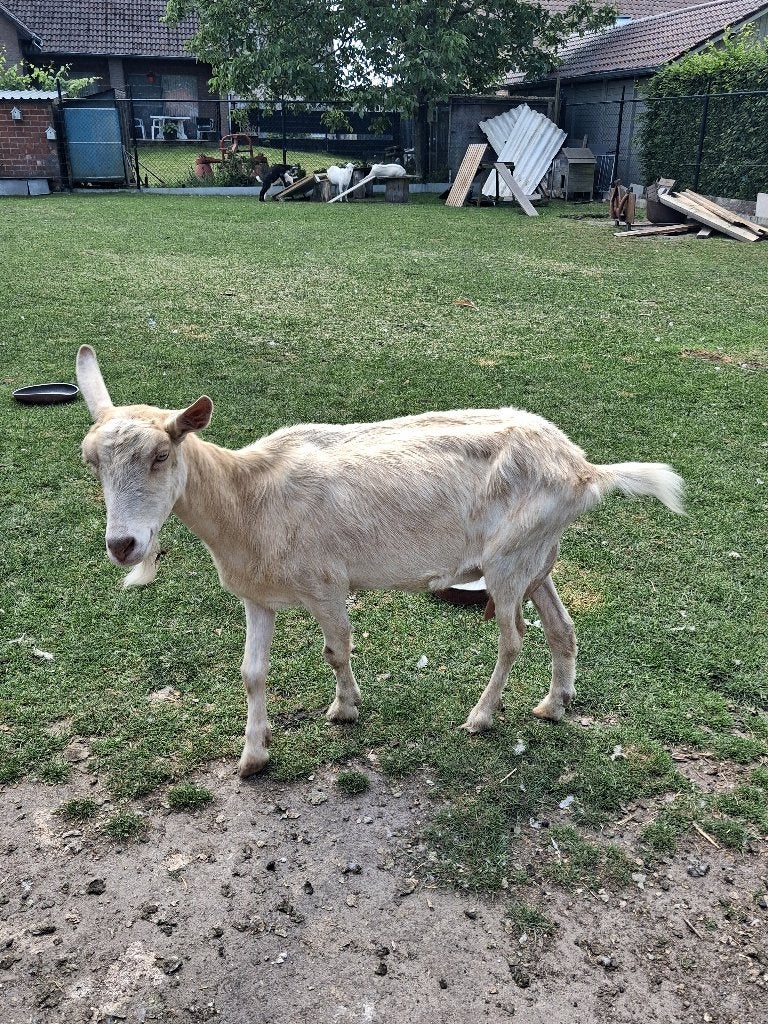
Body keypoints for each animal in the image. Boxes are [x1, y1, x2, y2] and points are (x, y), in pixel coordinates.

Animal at [75, 346, 683, 778]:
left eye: (161, 455)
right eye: (89, 461)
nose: (123, 545)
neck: (248, 496)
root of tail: (584, 470)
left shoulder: (326, 584)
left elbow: (336, 650)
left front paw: (345, 708)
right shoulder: (257, 595)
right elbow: (251, 672)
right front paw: (253, 757)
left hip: (508, 562)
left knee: (513, 639)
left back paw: (481, 717)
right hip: (539, 558)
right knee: (562, 628)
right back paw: (553, 705)